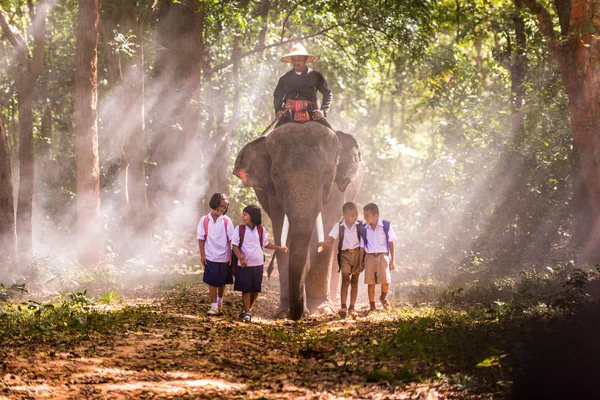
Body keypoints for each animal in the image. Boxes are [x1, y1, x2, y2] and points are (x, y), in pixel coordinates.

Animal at [233, 120, 360, 320]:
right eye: (276, 175)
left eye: (327, 175)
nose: (298, 314)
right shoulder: (274, 197)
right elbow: (281, 231)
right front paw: (284, 312)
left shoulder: (337, 193)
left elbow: (326, 232)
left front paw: (322, 309)